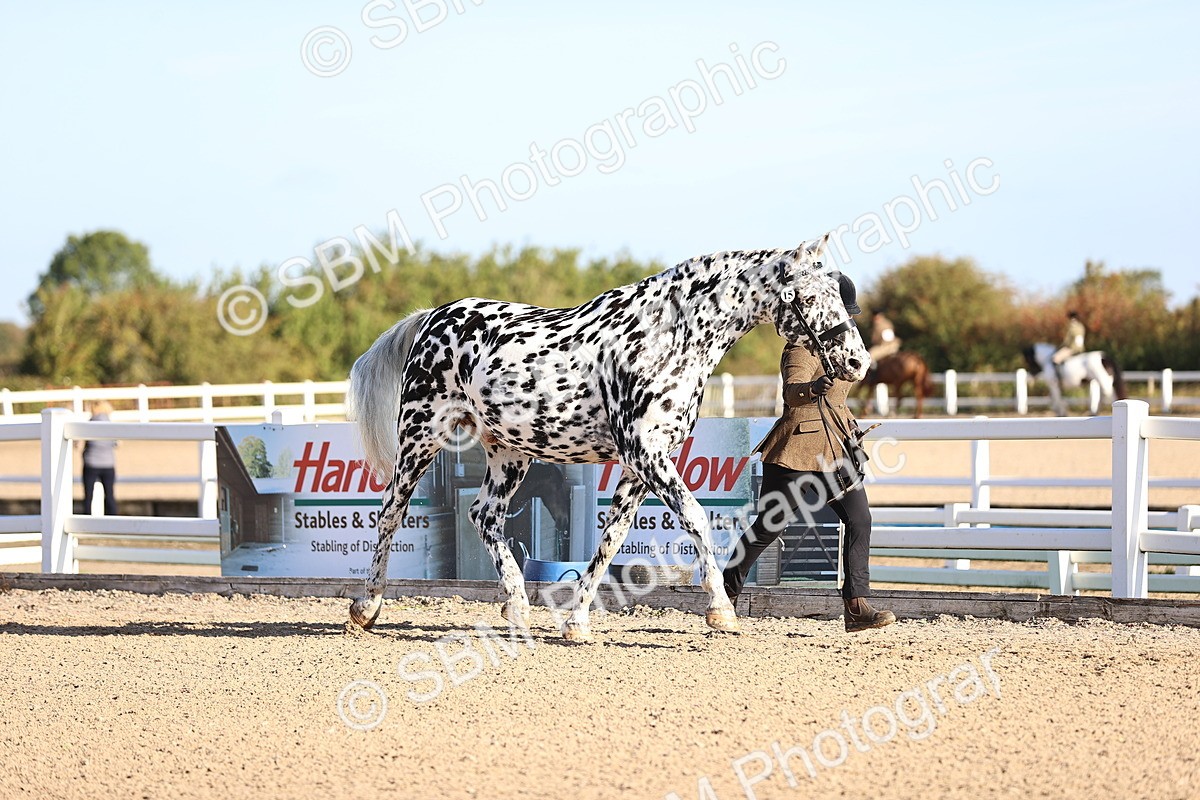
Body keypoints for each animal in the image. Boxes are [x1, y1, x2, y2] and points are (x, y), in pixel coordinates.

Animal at [346, 234, 869, 642]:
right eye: (811, 297)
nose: (857, 363)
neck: (667, 339)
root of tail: (432, 318)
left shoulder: (640, 467)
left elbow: (611, 538)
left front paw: (576, 623)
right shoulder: (647, 455)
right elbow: (696, 518)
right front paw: (721, 612)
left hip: (509, 452)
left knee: (484, 516)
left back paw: (516, 608)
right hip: (421, 435)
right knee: (390, 512)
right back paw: (366, 608)